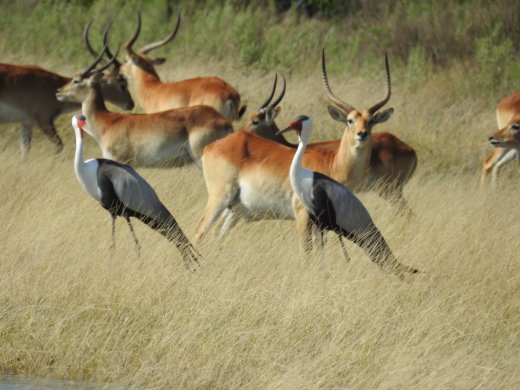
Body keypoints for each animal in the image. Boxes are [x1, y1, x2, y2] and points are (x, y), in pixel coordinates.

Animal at [194, 51, 394, 253]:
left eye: (371, 121)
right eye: (349, 120)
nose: (362, 134)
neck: (332, 165)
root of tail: (213, 145)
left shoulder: (320, 224)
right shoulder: (302, 215)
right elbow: (306, 252)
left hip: (233, 209)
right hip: (220, 199)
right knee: (199, 232)